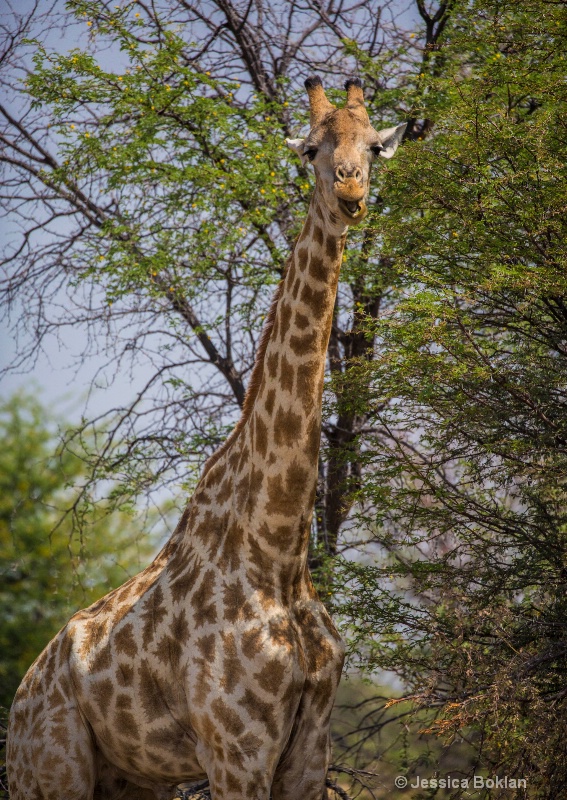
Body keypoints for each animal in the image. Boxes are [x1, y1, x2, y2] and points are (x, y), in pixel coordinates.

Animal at [4, 78, 404, 800]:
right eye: (310, 150)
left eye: (373, 148)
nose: (351, 193)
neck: (277, 549)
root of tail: (20, 698)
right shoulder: (235, 749)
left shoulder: (309, 751)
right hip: (50, 772)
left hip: (131, 780)